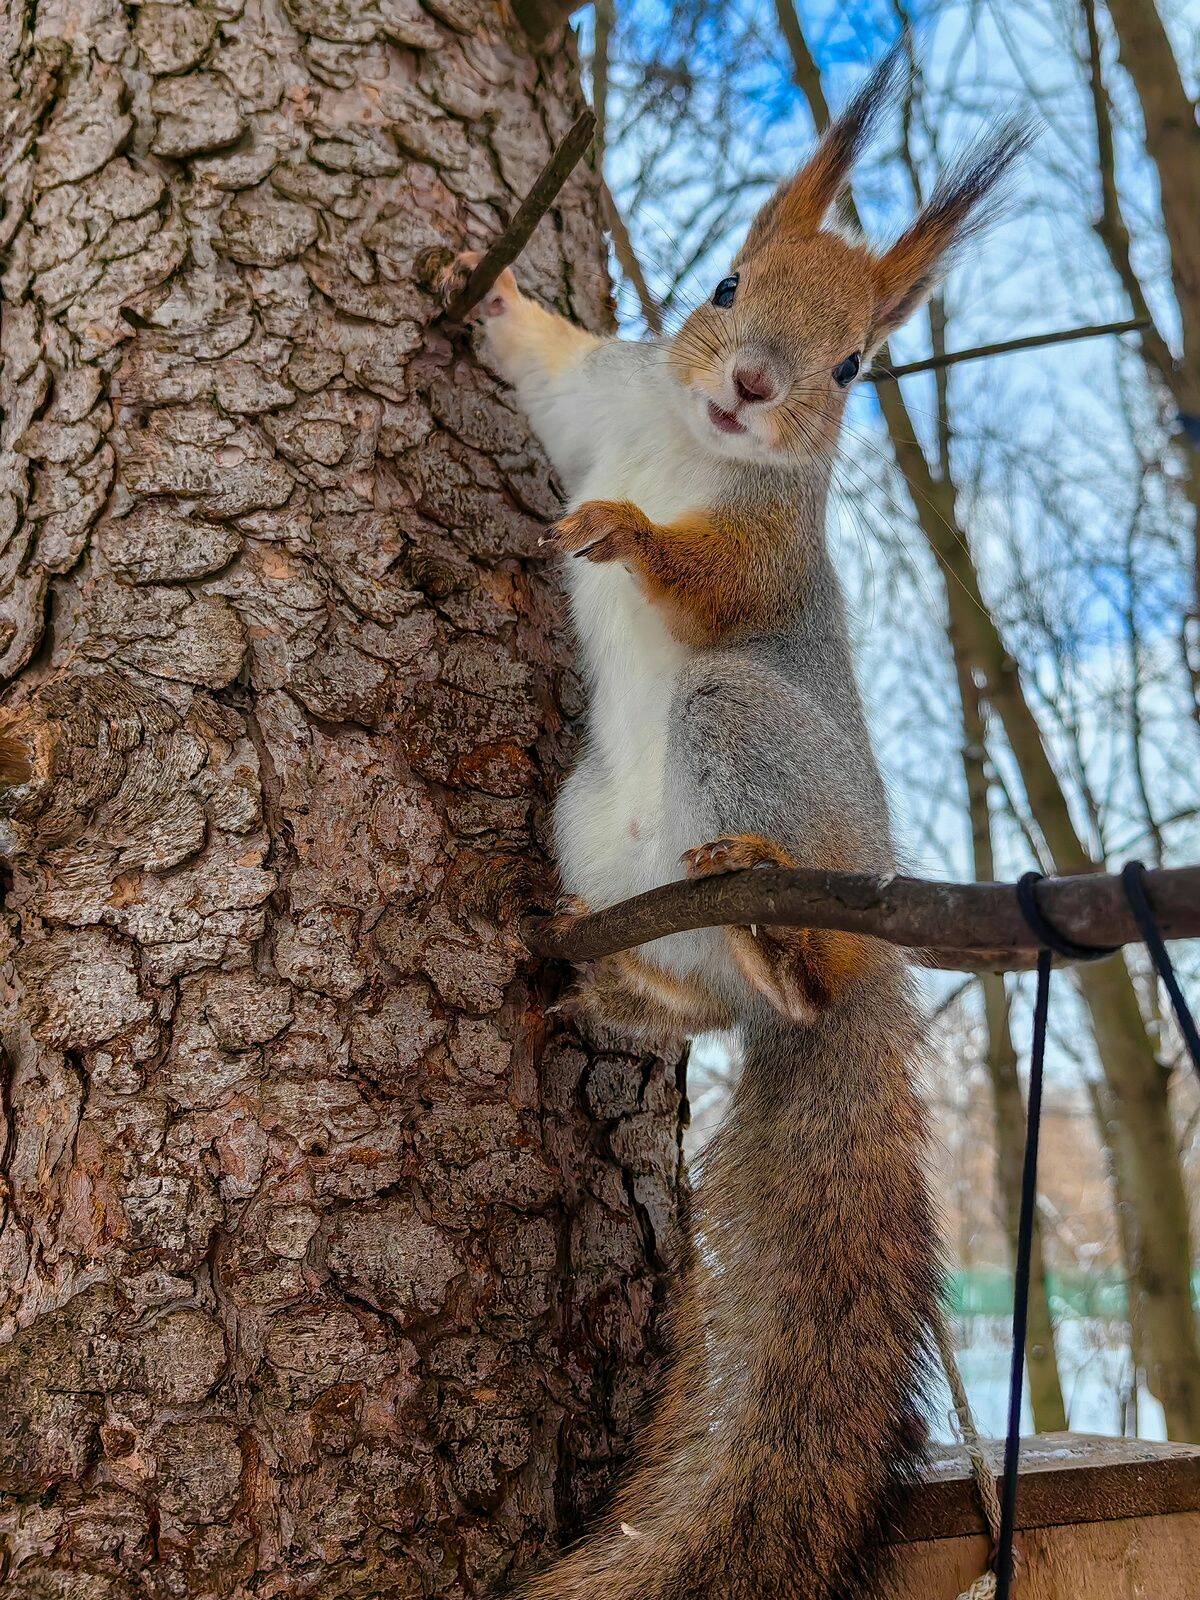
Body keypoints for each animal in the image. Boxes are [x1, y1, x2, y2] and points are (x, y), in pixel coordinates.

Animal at [448, 43, 1030, 1600]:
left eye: (854, 369)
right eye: (720, 284)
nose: (756, 388)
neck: (674, 436)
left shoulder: (766, 559)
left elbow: (701, 576)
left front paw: (631, 537)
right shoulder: (600, 399)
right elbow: (547, 365)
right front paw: (484, 284)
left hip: (747, 742)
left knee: (781, 975)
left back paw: (784, 952)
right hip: (591, 823)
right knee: (695, 1009)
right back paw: (611, 971)